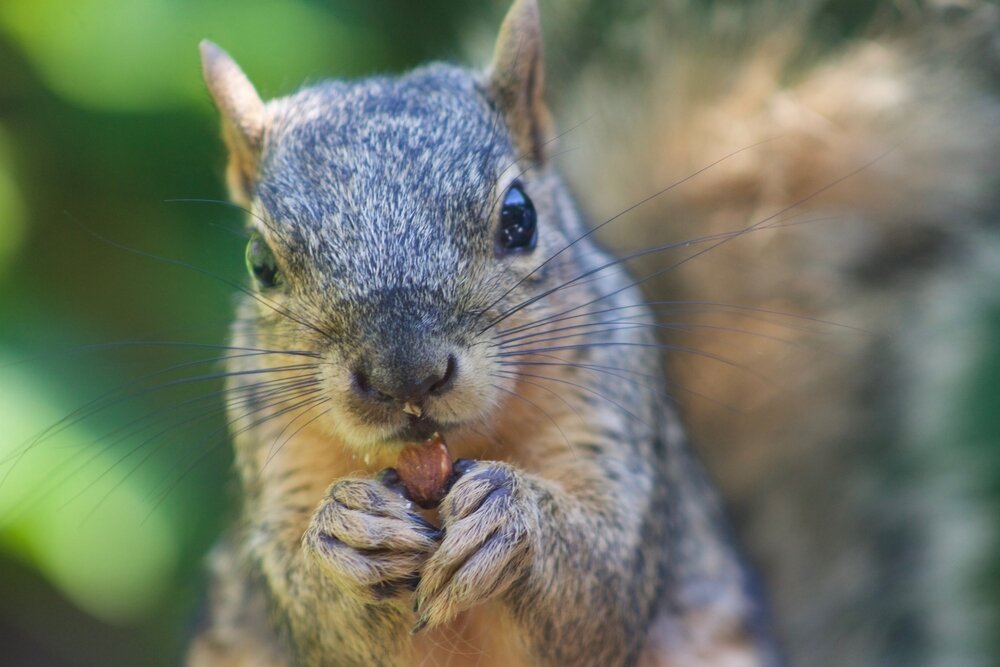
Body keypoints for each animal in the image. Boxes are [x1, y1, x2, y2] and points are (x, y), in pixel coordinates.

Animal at [188, 0, 1000, 666]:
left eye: (519, 217)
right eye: (260, 262)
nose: (405, 376)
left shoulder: (611, 404)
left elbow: (602, 592)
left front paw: (513, 520)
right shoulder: (274, 451)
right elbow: (316, 620)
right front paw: (343, 537)